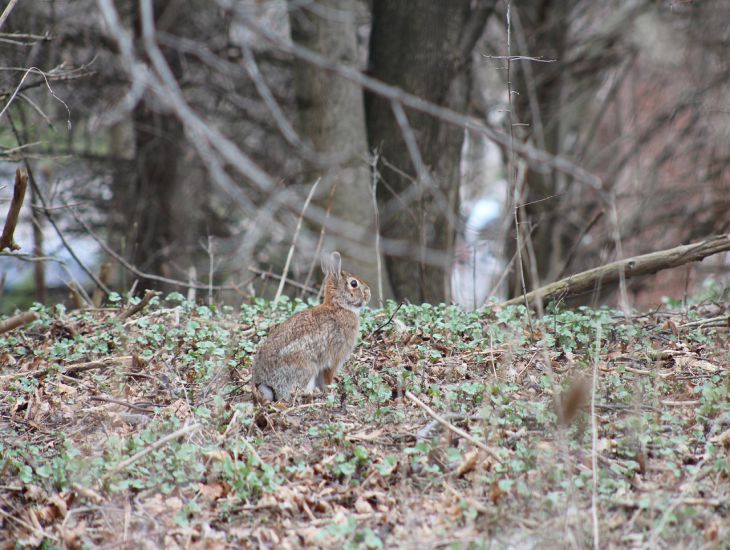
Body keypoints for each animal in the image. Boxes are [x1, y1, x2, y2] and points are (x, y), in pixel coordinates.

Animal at [253, 252, 372, 404]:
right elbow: (328, 376)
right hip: (306, 367)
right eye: (353, 283)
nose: (368, 293)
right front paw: (331, 390)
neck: (339, 306)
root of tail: (265, 384)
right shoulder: (334, 358)